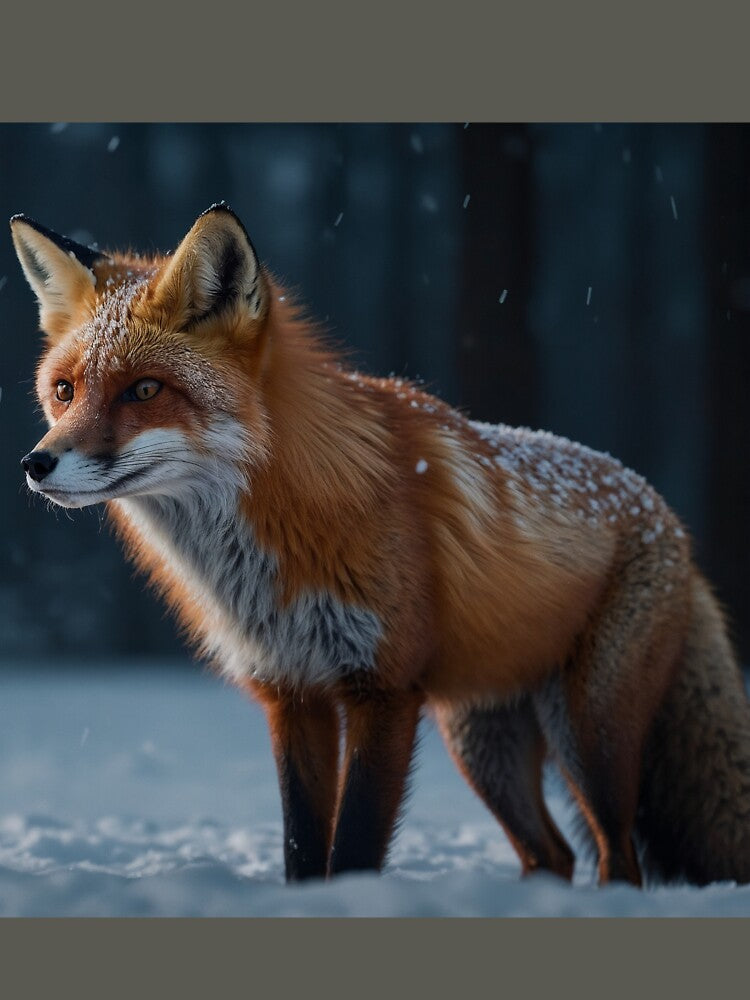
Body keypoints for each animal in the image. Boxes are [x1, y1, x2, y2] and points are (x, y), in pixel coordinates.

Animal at [11, 203, 750, 887]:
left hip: (588, 728)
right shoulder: (293, 693)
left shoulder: (384, 688)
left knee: (618, 857)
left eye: (144, 390)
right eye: (65, 390)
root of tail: (665, 513)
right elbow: (303, 848)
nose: (36, 464)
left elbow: (356, 846)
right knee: (554, 853)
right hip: (482, 740)